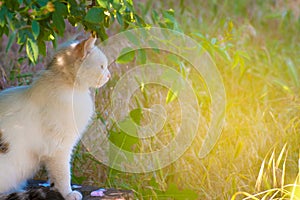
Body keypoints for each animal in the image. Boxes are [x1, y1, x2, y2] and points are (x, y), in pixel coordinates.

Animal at [0, 36, 110, 200]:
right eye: (102, 66)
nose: (109, 75)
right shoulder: (59, 149)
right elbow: (63, 174)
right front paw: (68, 193)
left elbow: (54, 177)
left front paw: (55, 188)